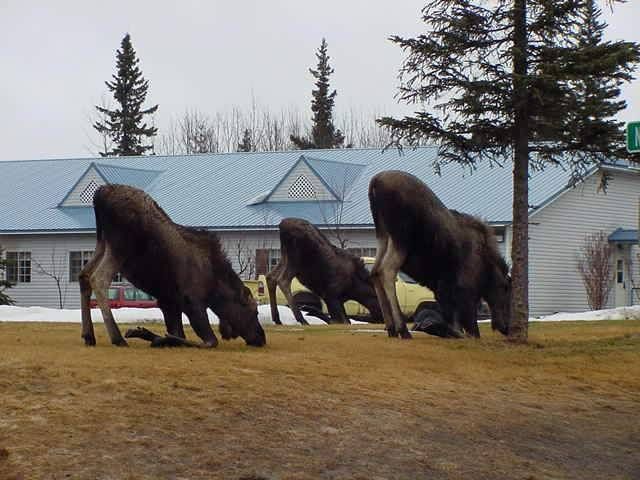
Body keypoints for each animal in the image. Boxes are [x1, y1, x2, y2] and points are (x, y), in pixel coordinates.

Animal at [79, 185, 264, 348]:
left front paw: (148, 335)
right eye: (253, 312)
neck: (215, 288)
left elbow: (178, 335)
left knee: (84, 275)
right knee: (99, 279)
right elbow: (209, 341)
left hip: (103, 241)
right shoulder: (191, 302)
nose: (261, 338)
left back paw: (89, 336)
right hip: (121, 246)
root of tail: (99, 195)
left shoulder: (168, 302)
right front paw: (153, 336)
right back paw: (117, 338)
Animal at [370, 171, 510, 340]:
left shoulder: (442, 291)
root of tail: (375, 182)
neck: (487, 270)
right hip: (401, 237)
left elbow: (454, 324)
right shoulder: (464, 291)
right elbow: (471, 330)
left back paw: (391, 328)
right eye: (506, 291)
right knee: (386, 271)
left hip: (383, 234)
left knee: (375, 271)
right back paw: (402, 329)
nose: (506, 327)